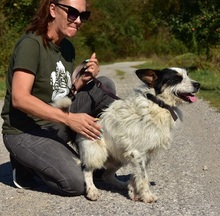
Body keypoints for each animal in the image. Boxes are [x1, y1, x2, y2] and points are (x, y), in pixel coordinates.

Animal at [75, 68, 200, 204]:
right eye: (176, 78)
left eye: (187, 75)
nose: (198, 85)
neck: (158, 103)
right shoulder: (137, 153)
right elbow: (143, 177)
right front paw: (147, 196)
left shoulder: (144, 155)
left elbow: (138, 175)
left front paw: (133, 192)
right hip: (97, 153)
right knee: (86, 170)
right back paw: (92, 191)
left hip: (119, 157)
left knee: (106, 175)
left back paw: (121, 185)